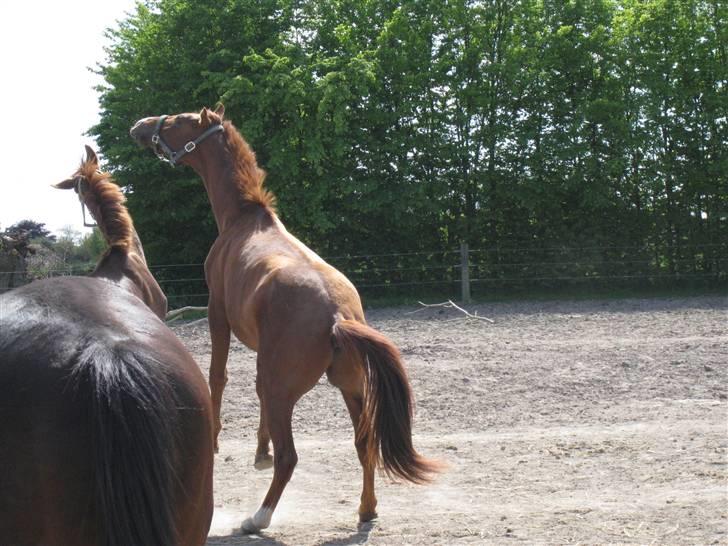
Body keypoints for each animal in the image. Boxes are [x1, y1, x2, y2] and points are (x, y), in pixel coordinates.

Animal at [131, 106, 438, 532]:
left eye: (178, 120)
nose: (140, 127)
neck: (243, 220)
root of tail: (338, 317)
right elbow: (255, 393)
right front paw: (260, 451)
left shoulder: (217, 313)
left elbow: (218, 376)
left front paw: (218, 440)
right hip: (351, 389)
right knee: (364, 444)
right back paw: (366, 509)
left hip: (289, 391)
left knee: (290, 456)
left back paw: (257, 517)